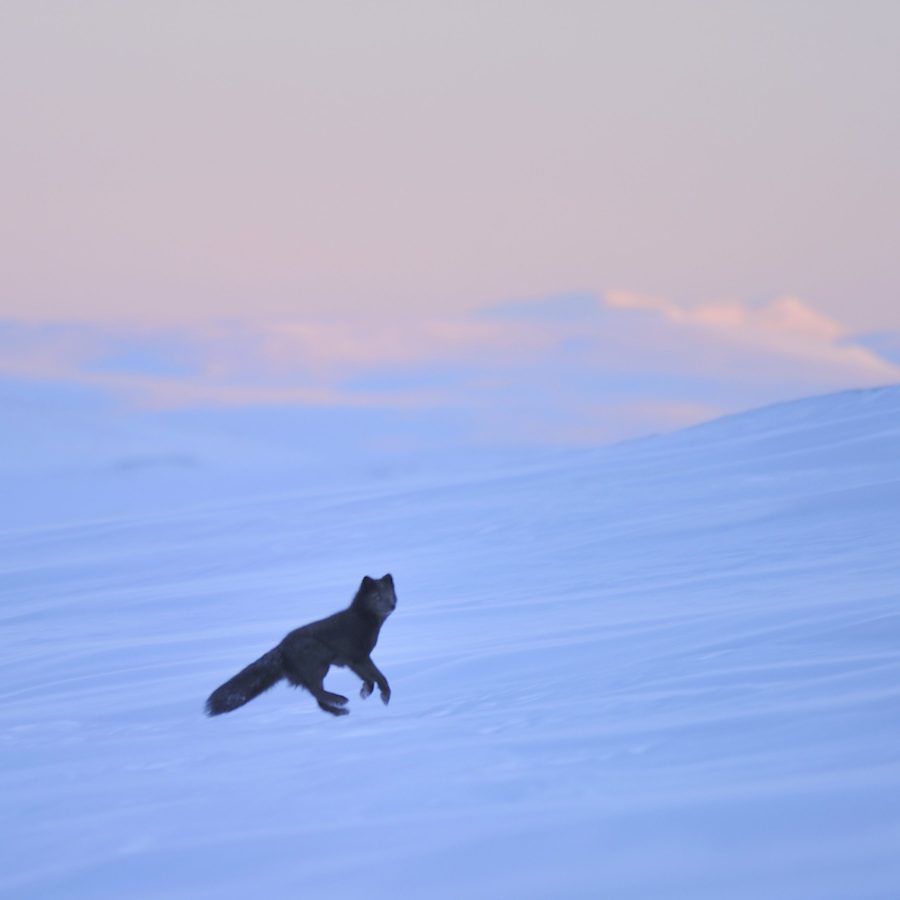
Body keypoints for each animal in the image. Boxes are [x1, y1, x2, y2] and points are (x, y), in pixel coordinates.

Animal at [206, 573, 396, 717]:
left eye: (391, 595)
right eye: (377, 597)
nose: (391, 606)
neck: (361, 621)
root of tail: (281, 648)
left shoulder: (353, 661)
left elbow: (369, 678)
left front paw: (365, 691)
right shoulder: (359, 657)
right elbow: (379, 676)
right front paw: (384, 695)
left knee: (319, 701)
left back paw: (339, 711)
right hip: (319, 667)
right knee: (316, 692)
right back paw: (339, 700)